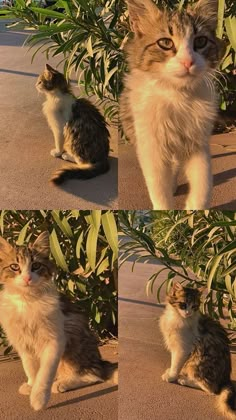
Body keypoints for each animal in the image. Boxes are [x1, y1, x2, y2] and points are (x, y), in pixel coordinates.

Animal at [0, 230, 118, 410]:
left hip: (75, 336)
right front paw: (31, 385)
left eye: (36, 266)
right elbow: (30, 368)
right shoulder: (23, 343)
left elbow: (45, 373)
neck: (27, 300)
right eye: (15, 266)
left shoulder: (55, 340)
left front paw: (39, 398)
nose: (27, 278)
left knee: (94, 375)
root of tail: (100, 360)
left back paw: (63, 383)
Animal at [121, 0, 226, 210]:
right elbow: (158, 187)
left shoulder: (198, 142)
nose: (188, 61)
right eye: (165, 43)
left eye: (200, 41)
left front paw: (194, 209)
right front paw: (164, 209)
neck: (179, 96)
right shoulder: (151, 146)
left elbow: (204, 183)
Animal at [159, 282, 235, 420]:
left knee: (211, 389)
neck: (177, 317)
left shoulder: (183, 348)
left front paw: (171, 376)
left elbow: (176, 363)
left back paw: (185, 380)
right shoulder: (174, 345)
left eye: (194, 306)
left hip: (197, 362)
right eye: (183, 304)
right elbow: (174, 362)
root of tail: (226, 379)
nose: (188, 313)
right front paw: (171, 371)